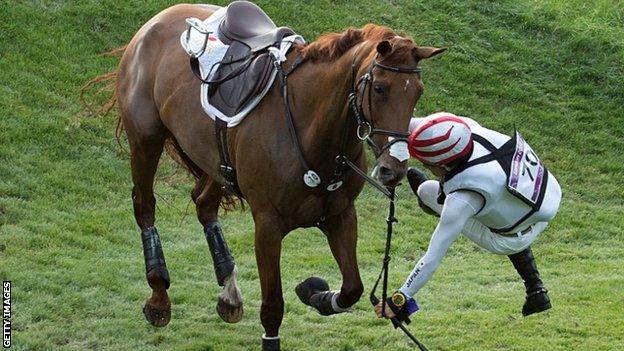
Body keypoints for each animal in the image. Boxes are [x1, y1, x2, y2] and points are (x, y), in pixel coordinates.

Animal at [90, 4, 446, 350]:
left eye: (417, 92)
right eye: (381, 88)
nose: (393, 168)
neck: (311, 129)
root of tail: (156, 21)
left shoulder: (341, 216)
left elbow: (352, 289)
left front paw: (316, 293)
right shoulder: (268, 227)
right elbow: (273, 307)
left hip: (216, 161)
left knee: (204, 204)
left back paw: (229, 293)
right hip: (146, 141)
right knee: (145, 206)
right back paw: (159, 297)